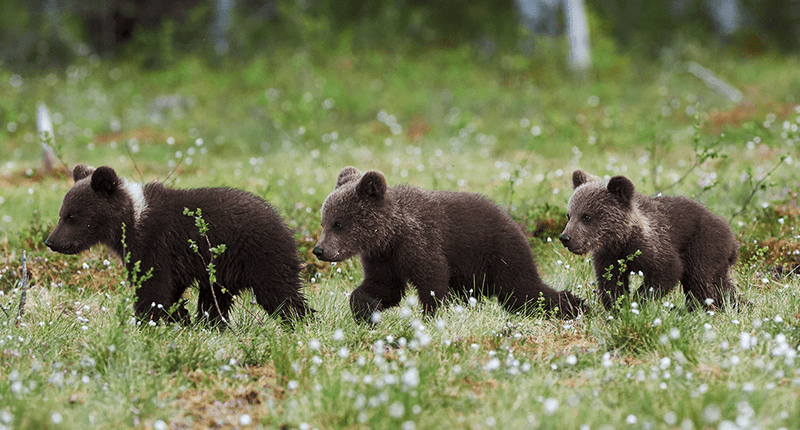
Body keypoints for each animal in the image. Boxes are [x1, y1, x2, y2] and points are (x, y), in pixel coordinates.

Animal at [45, 164, 312, 326]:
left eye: (71, 216)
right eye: (62, 213)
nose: (51, 241)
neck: (132, 220)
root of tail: (284, 222)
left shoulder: (155, 243)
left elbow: (153, 288)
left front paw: (147, 321)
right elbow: (170, 291)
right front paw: (179, 318)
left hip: (260, 254)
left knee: (279, 293)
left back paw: (300, 320)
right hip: (222, 272)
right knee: (215, 300)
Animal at [312, 166, 586, 323]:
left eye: (338, 223)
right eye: (324, 222)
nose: (319, 250)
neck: (391, 235)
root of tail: (515, 223)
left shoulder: (420, 243)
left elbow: (432, 279)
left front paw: (430, 317)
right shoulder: (382, 258)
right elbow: (383, 287)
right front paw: (365, 311)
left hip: (500, 256)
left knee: (525, 292)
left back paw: (577, 305)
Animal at [559, 169, 740, 311]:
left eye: (586, 216)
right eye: (569, 215)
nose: (565, 237)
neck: (622, 239)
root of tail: (730, 235)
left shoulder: (655, 245)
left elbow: (667, 271)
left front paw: (638, 301)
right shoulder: (609, 255)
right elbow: (610, 282)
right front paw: (617, 307)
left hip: (703, 246)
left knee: (700, 281)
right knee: (722, 285)